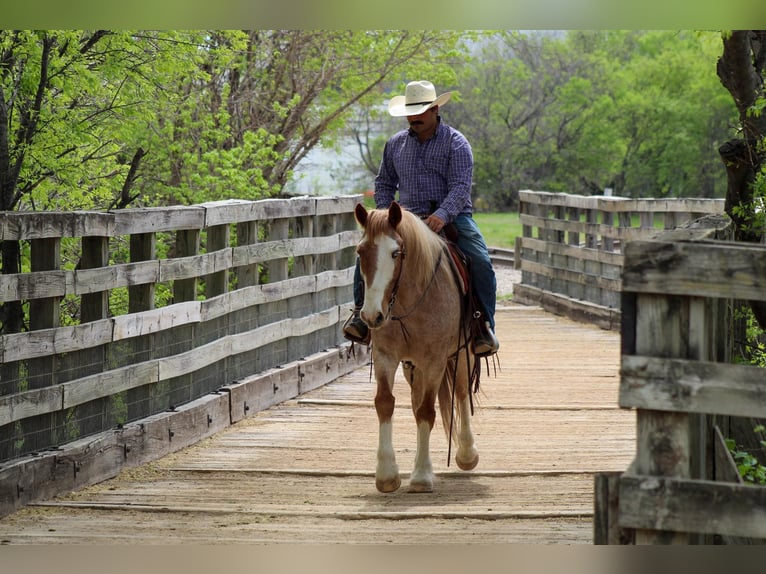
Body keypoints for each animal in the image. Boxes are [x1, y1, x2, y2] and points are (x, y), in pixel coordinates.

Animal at [354, 201, 480, 493]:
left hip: (461, 353)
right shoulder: (386, 356)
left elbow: (426, 410)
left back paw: (467, 453)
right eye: (360, 252)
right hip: (413, 366)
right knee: (416, 400)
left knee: (460, 392)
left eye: (395, 253)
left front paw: (422, 475)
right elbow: (385, 403)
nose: (371, 315)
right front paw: (387, 474)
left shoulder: (435, 360)